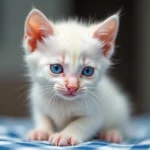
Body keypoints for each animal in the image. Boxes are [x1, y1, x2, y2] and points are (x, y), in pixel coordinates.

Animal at [23, 8, 130, 146]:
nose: (72, 86)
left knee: (120, 125)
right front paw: (41, 131)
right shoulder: (38, 103)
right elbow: (43, 118)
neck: (63, 103)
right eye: (56, 68)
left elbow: (80, 124)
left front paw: (66, 135)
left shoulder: (95, 112)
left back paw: (112, 133)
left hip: (119, 108)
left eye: (88, 71)